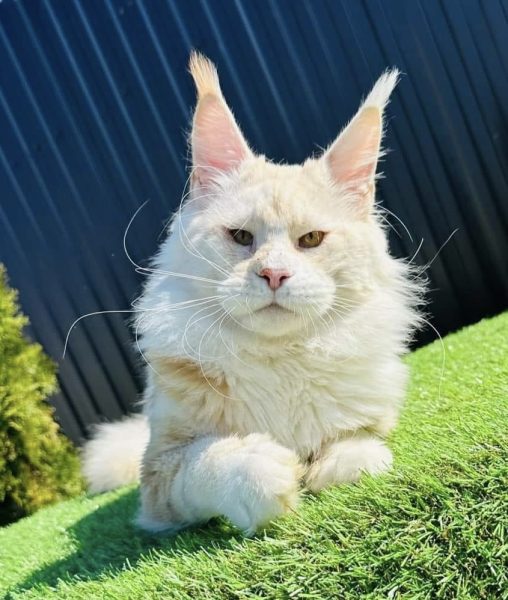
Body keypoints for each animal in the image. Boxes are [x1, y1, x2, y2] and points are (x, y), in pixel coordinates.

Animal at [83, 52, 422, 536]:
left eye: (311, 240)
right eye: (241, 237)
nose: (274, 274)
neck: (279, 361)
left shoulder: (373, 415)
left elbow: (356, 443)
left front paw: (338, 465)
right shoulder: (160, 472)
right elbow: (208, 461)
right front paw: (268, 469)